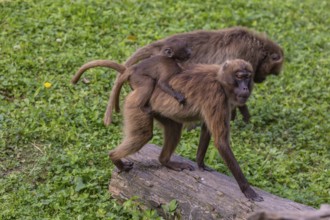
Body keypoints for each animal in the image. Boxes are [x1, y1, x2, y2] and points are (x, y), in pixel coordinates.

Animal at [108, 26, 284, 124]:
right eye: (270, 72)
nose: (261, 79)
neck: (259, 47)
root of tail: (161, 46)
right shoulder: (246, 58)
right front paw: (241, 115)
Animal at [109, 59, 264, 202]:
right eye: (239, 77)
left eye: (247, 77)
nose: (245, 88)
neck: (220, 79)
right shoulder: (216, 95)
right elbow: (221, 141)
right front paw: (247, 189)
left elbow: (206, 128)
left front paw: (201, 164)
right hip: (136, 106)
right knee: (144, 135)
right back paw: (115, 158)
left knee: (174, 128)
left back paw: (165, 161)